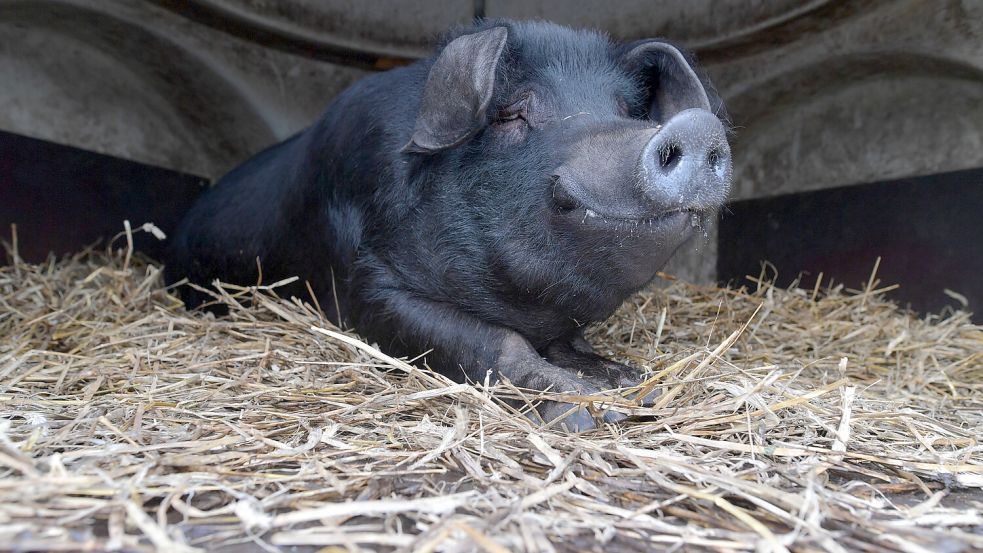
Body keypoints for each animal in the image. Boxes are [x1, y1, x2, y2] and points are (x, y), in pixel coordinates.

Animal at [167, 19, 732, 430]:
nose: (696, 127)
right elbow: (496, 343)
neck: (522, 302)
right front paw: (594, 410)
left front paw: (634, 381)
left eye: (628, 111)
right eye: (511, 114)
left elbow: (569, 344)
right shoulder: (367, 289)